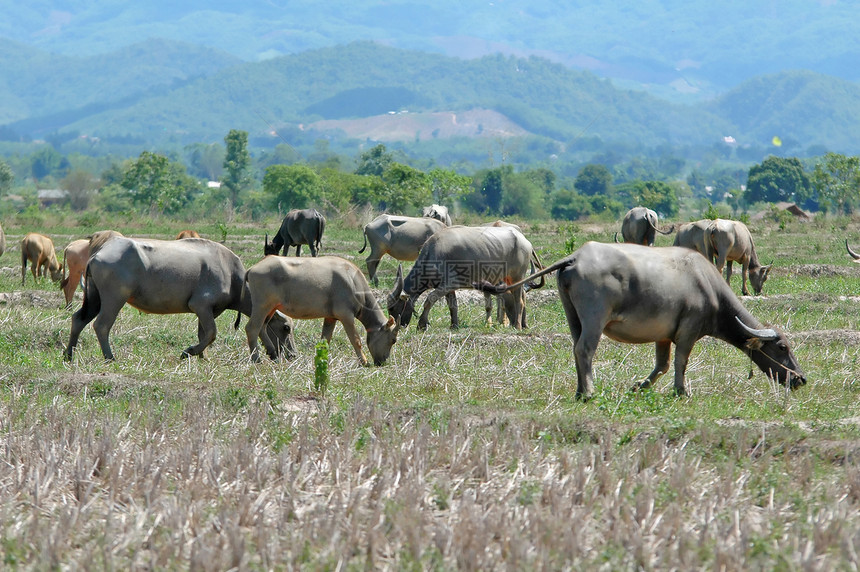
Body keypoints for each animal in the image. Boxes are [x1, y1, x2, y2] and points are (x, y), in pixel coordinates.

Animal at [63, 236, 296, 362]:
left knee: (78, 319)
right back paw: (110, 356)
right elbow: (211, 334)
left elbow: (204, 333)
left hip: (95, 299)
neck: (233, 276)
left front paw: (203, 357)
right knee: (101, 325)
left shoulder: (207, 312)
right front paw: (189, 352)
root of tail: (97, 254)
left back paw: (69, 354)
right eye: (286, 328)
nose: (291, 354)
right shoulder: (201, 305)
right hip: (114, 299)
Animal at [244, 256, 402, 366]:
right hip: (262, 305)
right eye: (393, 340)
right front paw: (364, 362)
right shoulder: (346, 316)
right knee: (252, 328)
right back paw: (257, 359)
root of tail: (252, 269)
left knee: (262, 327)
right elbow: (356, 340)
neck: (353, 280)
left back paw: (273, 354)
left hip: (271, 308)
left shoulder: (330, 318)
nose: (382, 362)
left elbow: (325, 341)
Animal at [392, 225, 544, 330]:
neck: (433, 256)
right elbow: (453, 306)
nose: (399, 326)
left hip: (517, 277)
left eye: (393, 308)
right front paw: (454, 325)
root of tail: (525, 241)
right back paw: (523, 324)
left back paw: (518, 325)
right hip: (511, 280)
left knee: (520, 301)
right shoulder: (449, 288)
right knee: (522, 296)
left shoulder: (448, 284)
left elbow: (429, 299)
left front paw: (422, 324)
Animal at [478, 244, 808, 400]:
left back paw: (580, 389)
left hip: (573, 316)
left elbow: (662, 364)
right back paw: (590, 392)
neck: (708, 287)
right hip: (595, 318)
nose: (801, 378)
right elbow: (680, 363)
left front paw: (638, 386)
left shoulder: (664, 336)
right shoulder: (688, 331)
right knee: (585, 349)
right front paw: (682, 391)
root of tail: (575, 257)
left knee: (574, 348)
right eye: (782, 347)